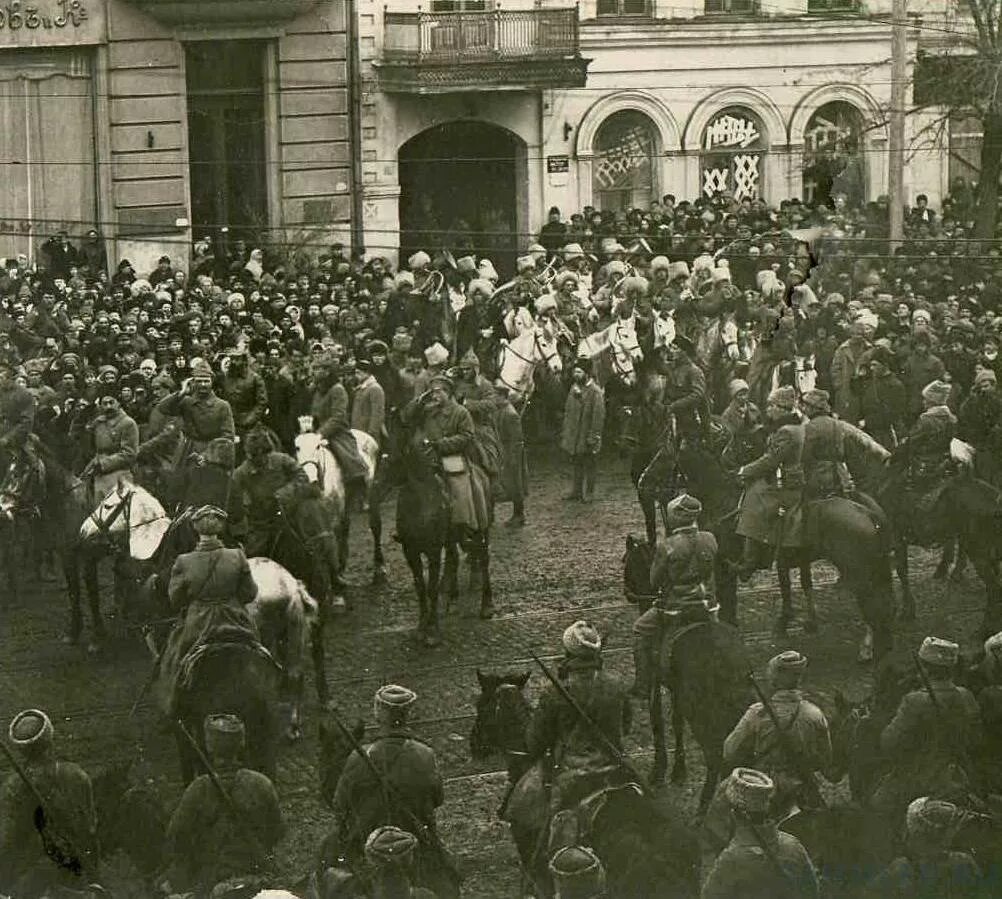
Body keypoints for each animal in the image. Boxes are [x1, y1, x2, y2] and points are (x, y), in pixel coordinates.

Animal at [390, 434, 492, 645]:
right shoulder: (410, 551)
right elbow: (420, 587)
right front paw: (421, 626)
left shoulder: (433, 550)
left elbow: (432, 588)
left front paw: (433, 630)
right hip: (451, 537)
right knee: (454, 558)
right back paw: (453, 601)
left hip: (482, 528)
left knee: (484, 559)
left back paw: (487, 605)